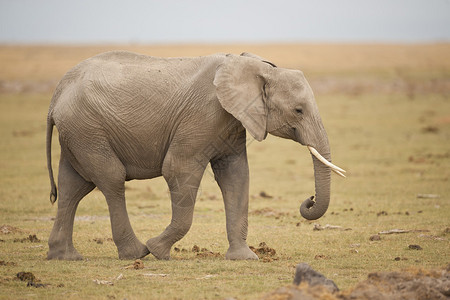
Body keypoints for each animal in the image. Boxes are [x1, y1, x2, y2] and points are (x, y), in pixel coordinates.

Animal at [45, 51, 346, 260]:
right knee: (111, 180)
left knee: (73, 186)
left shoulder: (232, 122)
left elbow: (236, 177)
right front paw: (158, 251)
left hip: (79, 133)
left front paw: (244, 257)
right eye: (298, 110)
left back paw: (66, 257)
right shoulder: (203, 116)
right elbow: (178, 169)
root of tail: (57, 93)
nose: (309, 199)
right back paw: (137, 253)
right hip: (87, 129)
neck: (257, 68)